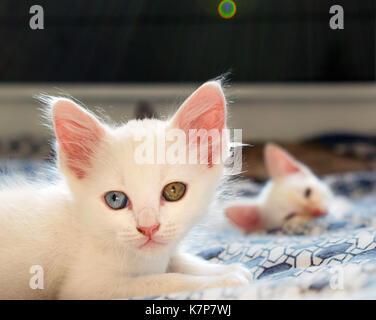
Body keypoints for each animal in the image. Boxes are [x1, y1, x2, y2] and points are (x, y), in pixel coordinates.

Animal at [0, 82, 250, 300]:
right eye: (115, 199)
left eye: (174, 190)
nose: (149, 228)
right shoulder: (86, 287)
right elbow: (160, 280)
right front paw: (224, 280)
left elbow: (177, 258)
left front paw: (224, 269)